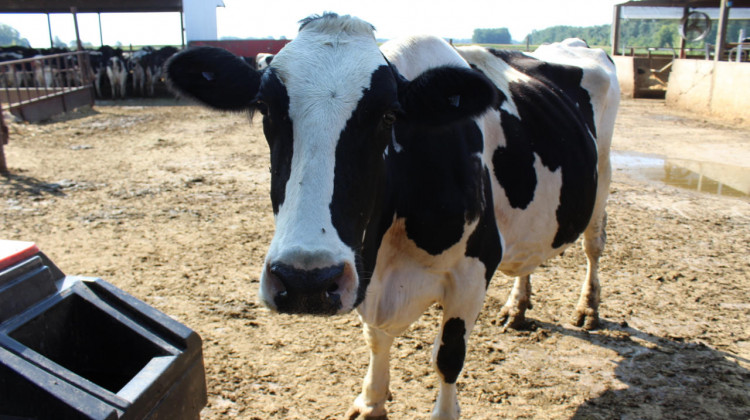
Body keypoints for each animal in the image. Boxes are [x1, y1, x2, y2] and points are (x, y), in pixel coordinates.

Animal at [167, 13, 620, 420]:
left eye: (388, 115)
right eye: (264, 108)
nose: (305, 281)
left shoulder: (473, 269)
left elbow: (448, 357)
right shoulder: (366, 276)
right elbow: (376, 338)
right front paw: (371, 402)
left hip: (603, 171)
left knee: (594, 245)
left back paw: (588, 307)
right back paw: (517, 305)